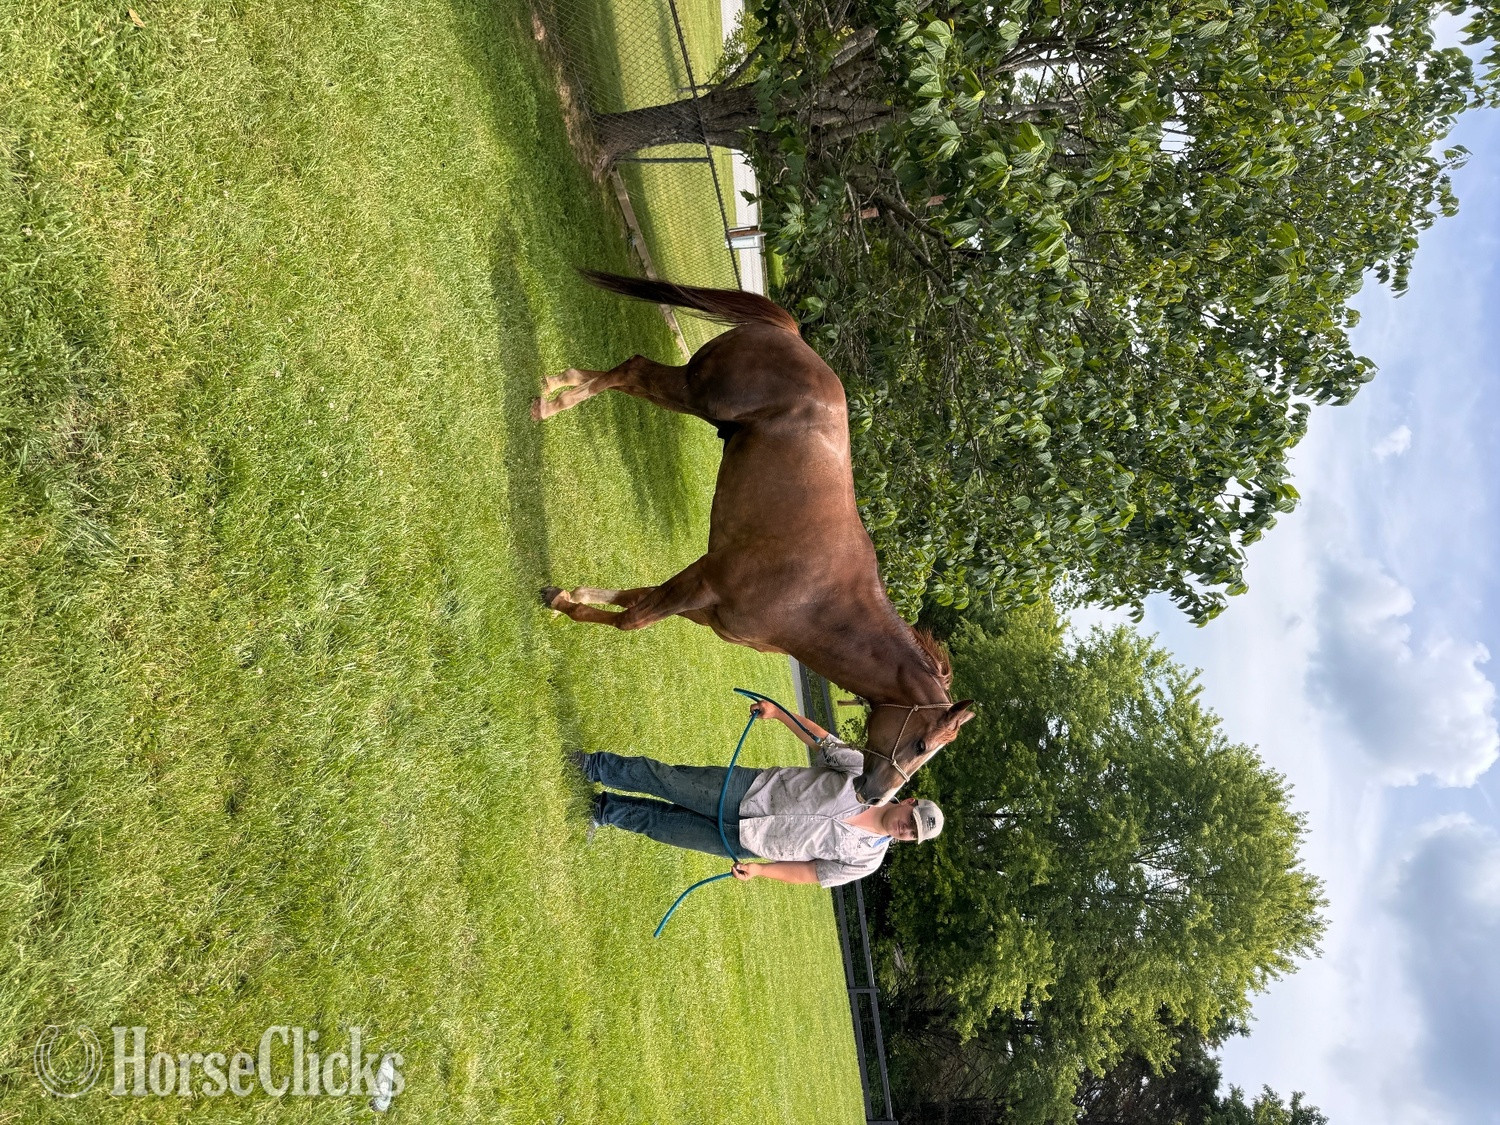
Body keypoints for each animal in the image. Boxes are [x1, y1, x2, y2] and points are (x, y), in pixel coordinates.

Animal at [533, 271, 974, 802]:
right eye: (922, 744)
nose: (873, 795)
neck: (818, 601)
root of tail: (792, 335)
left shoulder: (699, 601)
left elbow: (629, 599)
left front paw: (568, 595)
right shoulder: (704, 581)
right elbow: (629, 621)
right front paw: (564, 604)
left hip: (692, 399)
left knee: (631, 374)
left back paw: (556, 385)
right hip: (696, 392)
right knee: (632, 370)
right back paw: (550, 403)